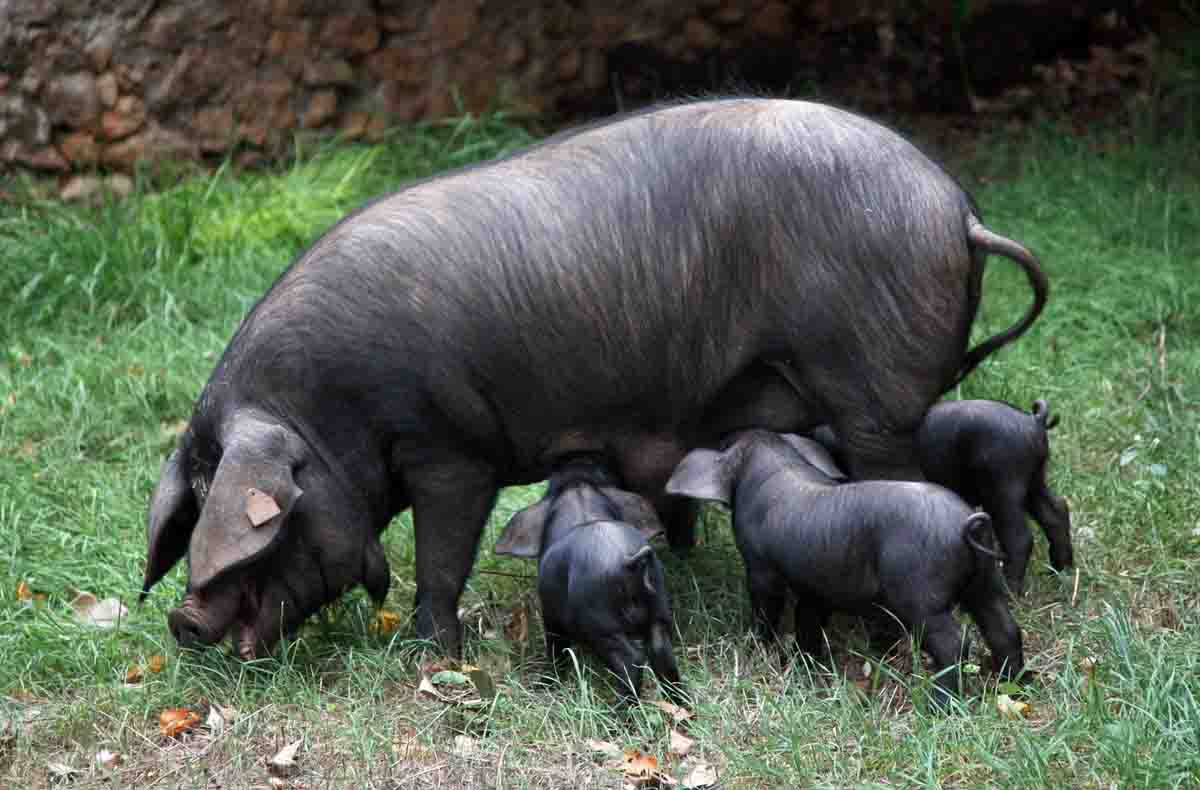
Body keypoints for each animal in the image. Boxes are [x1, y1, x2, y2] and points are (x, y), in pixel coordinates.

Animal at [494, 456, 686, 701]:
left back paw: (618, 708)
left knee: (631, 660)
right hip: (658, 608)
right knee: (661, 651)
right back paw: (680, 704)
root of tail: (628, 561)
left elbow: (556, 650)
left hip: (600, 623)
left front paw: (545, 684)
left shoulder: (551, 615)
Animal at [667, 429, 1022, 701]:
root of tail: (966, 522)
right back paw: (1015, 684)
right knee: (1004, 627)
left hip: (921, 595)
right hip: (985, 581)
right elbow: (808, 620)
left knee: (954, 644)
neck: (773, 461)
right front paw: (805, 663)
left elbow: (767, 607)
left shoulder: (761, 568)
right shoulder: (817, 586)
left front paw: (758, 645)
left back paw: (940, 705)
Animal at [811, 396, 1075, 593]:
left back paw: (1010, 592)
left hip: (1003, 484)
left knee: (1019, 537)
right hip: (1034, 478)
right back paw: (1062, 571)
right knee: (1056, 511)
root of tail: (1032, 421)